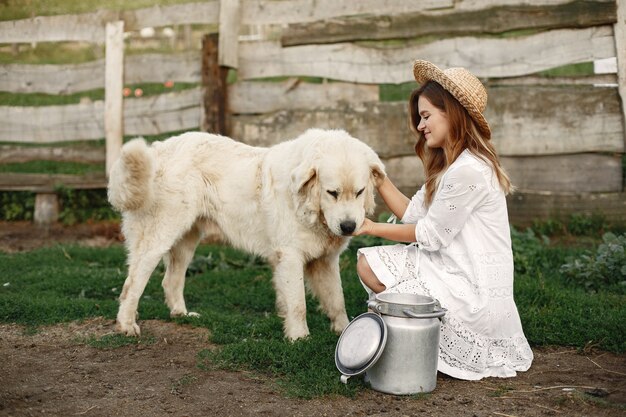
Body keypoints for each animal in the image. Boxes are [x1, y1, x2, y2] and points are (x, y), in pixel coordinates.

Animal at [107, 128, 386, 340]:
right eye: (332, 192)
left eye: (359, 191)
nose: (348, 226)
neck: (308, 205)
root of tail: (158, 150)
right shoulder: (290, 257)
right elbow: (298, 304)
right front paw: (299, 338)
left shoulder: (325, 261)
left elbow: (336, 300)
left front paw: (344, 330)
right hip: (161, 235)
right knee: (133, 283)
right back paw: (127, 324)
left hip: (187, 239)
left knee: (170, 280)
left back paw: (181, 314)